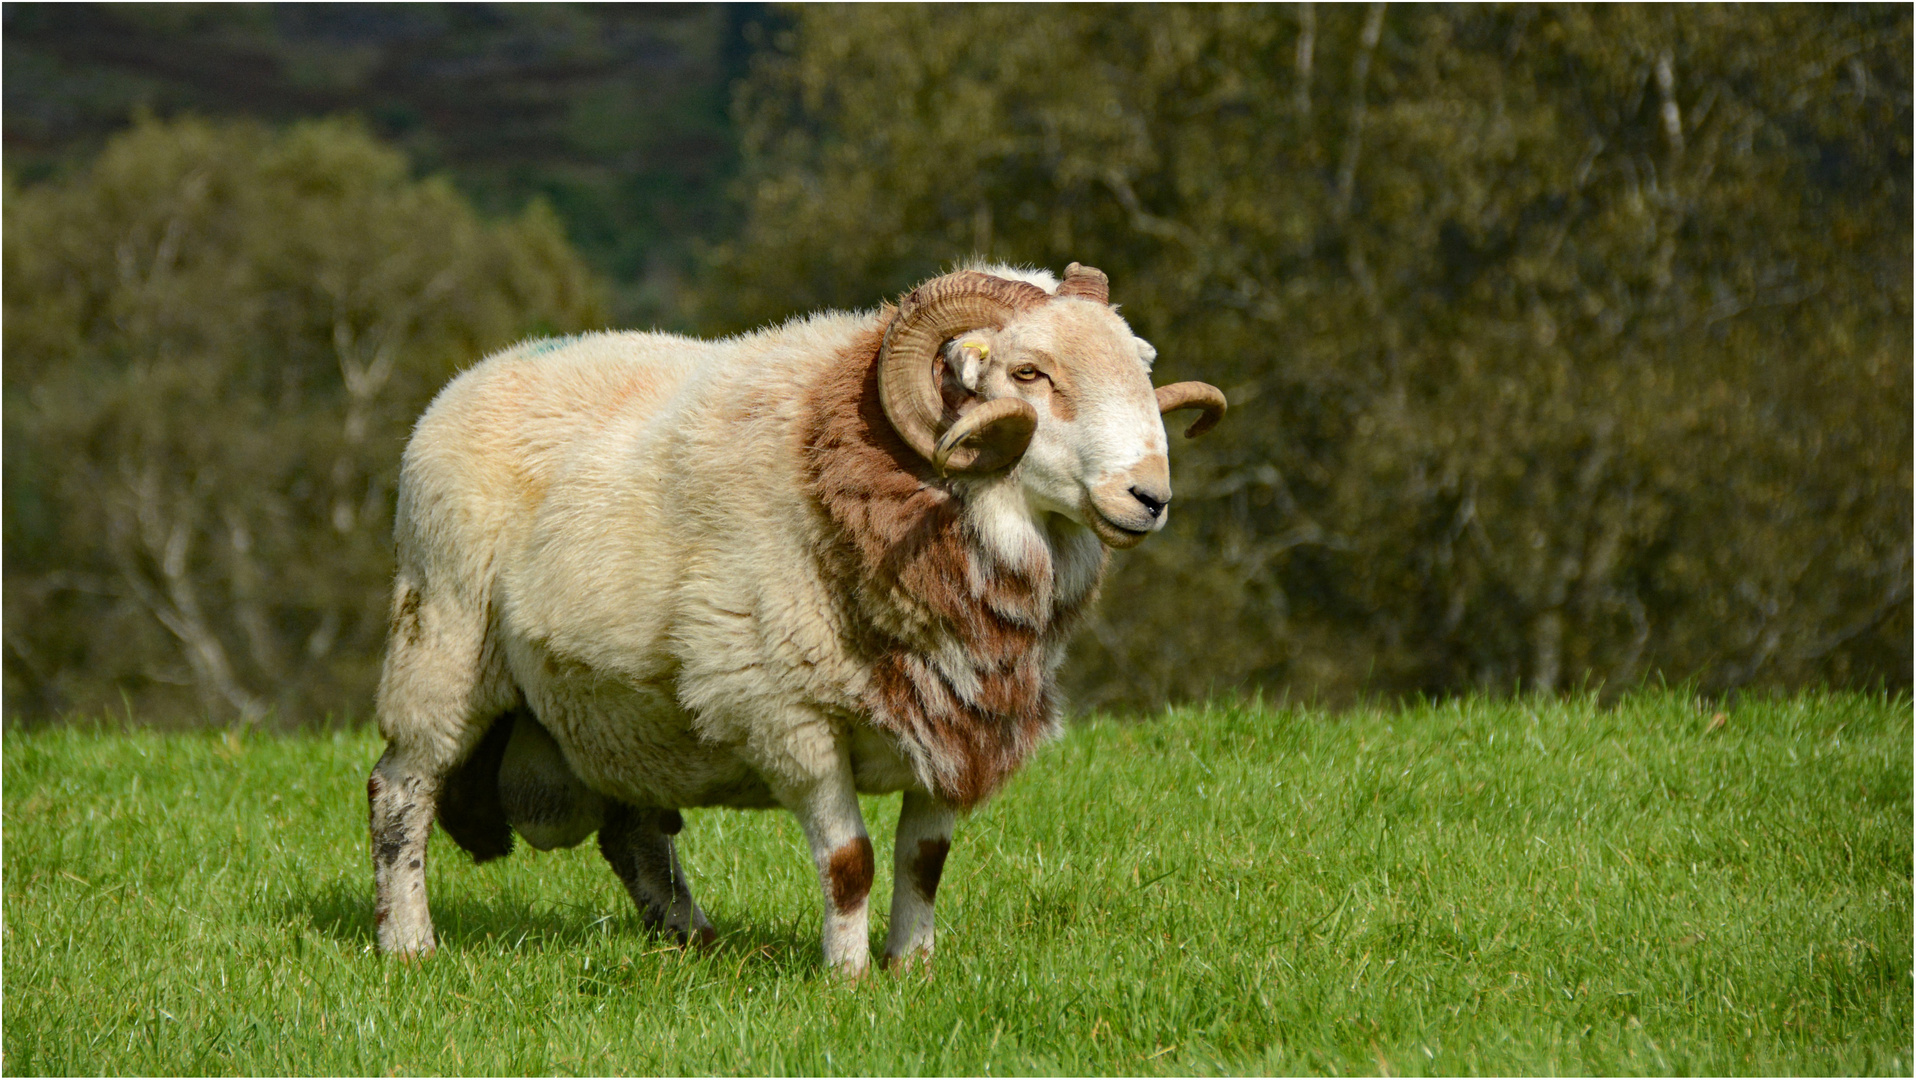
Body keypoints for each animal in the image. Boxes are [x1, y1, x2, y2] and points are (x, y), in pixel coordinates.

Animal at [367, 258, 1233, 968]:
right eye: (1029, 371)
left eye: (1140, 364)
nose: (1150, 497)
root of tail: (476, 374)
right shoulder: (790, 719)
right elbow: (851, 862)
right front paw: (846, 980)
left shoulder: (954, 721)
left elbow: (923, 865)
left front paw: (910, 971)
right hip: (441, 642)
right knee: (400, 790)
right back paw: (408, 943)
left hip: (613, 708)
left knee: (631, 830)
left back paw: (693, 940)